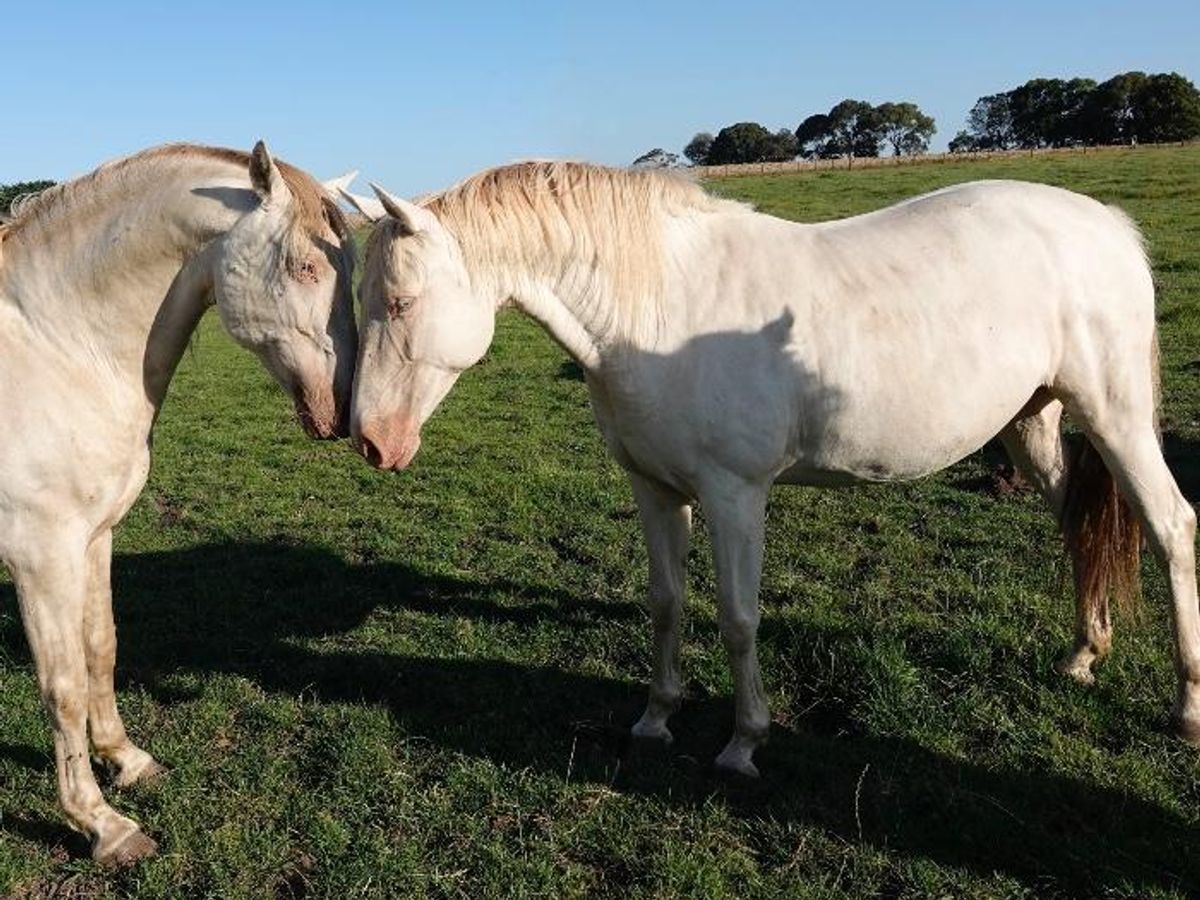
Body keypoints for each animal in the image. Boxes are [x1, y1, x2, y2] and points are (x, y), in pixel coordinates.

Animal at [0, 142, 356, 864]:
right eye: (305, 266)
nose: (344, 407)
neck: (58, 349)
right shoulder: (40, 556)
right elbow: (63, 687)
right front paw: (100, 824)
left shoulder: (93, 538)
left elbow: (102, 647)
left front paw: (127, 761)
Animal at [341, 161, 1196, 780]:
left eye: (401, 301)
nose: (371, 442)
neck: (658, 309)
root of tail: (1106, 224)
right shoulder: (655, 491)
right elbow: (666, 603)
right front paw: (656, 717)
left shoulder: (734, 496)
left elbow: (737, 618)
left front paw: (743, 743)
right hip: (1033, 423)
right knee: (1080, 526)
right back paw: (1084, 655)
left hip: (1114, 415)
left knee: (1170, 528)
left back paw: (1185, 708)